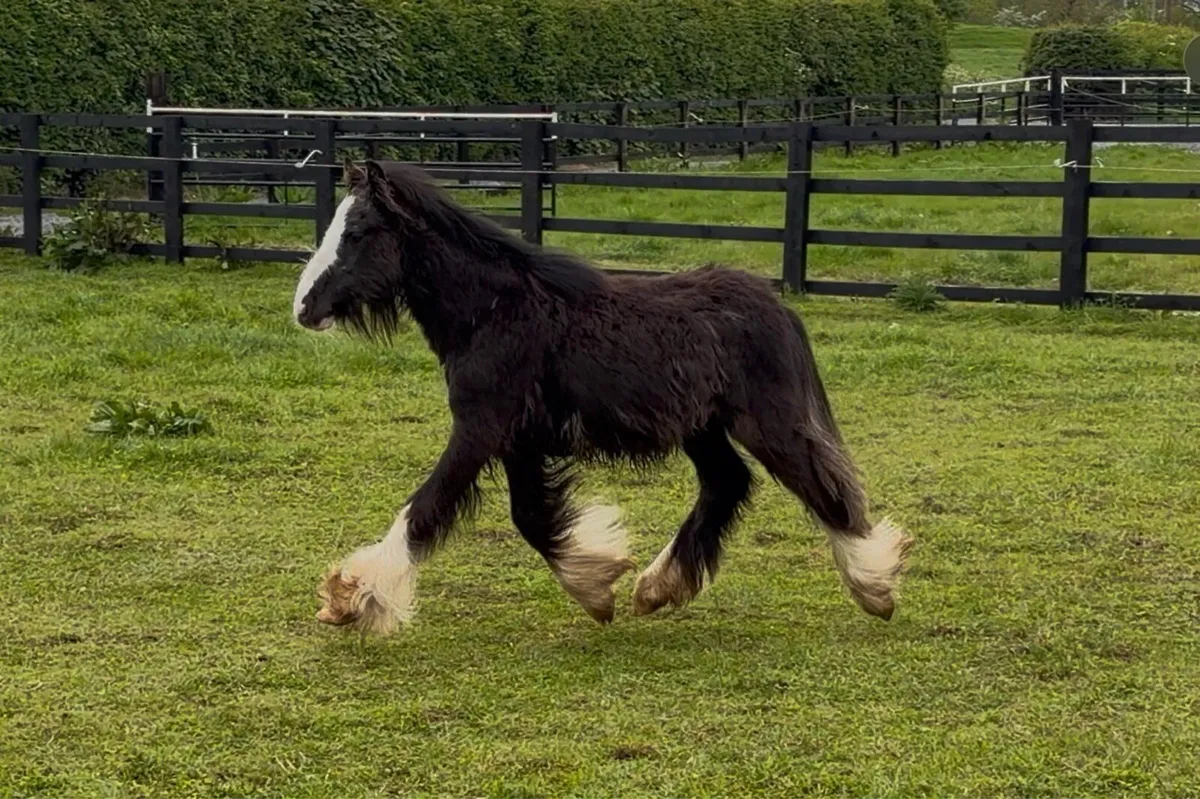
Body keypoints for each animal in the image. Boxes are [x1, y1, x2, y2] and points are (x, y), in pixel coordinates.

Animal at [294, 160, 912, 635]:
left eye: (358, 233)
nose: (304, 306)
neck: (495, 313)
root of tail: (776, 306)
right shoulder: (519, 439)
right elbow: (531, 516)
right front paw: (598, 584)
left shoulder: (480, 428)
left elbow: (426, 508)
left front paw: (352, 598)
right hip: (703, 429)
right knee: (727, 484)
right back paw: (657, 588)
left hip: (767, 422)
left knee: (825, 489)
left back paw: (874, 587)